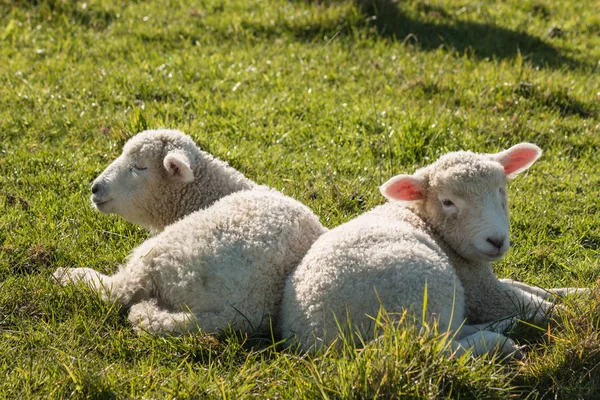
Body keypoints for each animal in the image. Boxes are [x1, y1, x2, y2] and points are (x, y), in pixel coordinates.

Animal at [52, 129, 328, 334]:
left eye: (140, 167)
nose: (95, 188)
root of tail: (239, 310)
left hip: (164, 251)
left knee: (118, 291)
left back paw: (69, 276)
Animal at [278, 144, 584, 356]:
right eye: (447, 202)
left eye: (500, 191)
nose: (496, 241)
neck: (424, 219)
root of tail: (318, 336)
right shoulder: (482, 291)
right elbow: (540, 305)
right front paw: (577, 311)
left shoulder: (483, 282)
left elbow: (534, 289)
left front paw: (579, 292)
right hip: (419, 291)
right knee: (436, 348)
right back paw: (500, 340)